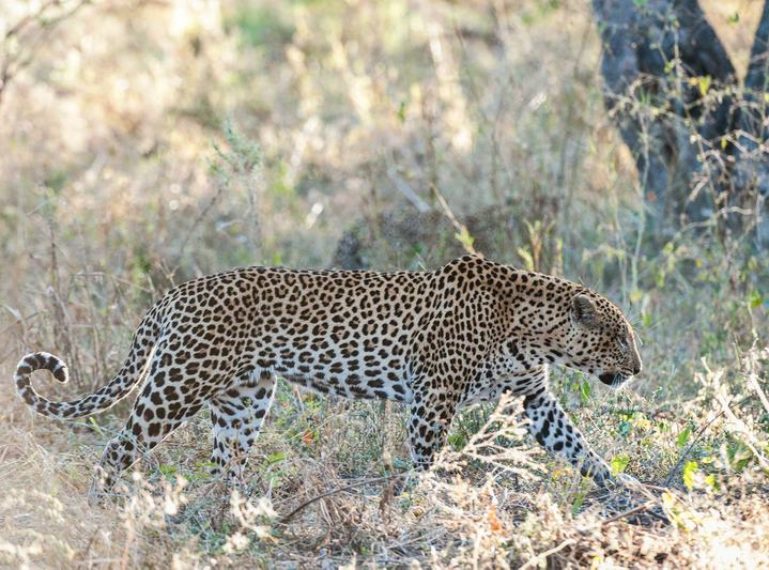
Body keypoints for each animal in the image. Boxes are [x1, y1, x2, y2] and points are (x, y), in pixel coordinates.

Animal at [13, 255, 640, 494]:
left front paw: (628, 491)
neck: (531, 328)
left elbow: (579, 447)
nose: (637, 369)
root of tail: (174, 294)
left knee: (223, 464)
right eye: (620, 338)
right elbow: (426, 458)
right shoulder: (432, 396)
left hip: (244, 399)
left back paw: (236, 512)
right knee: (115, 449)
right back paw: (102, 507)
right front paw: (426, 499)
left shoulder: (535, 399)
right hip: (177, 384)